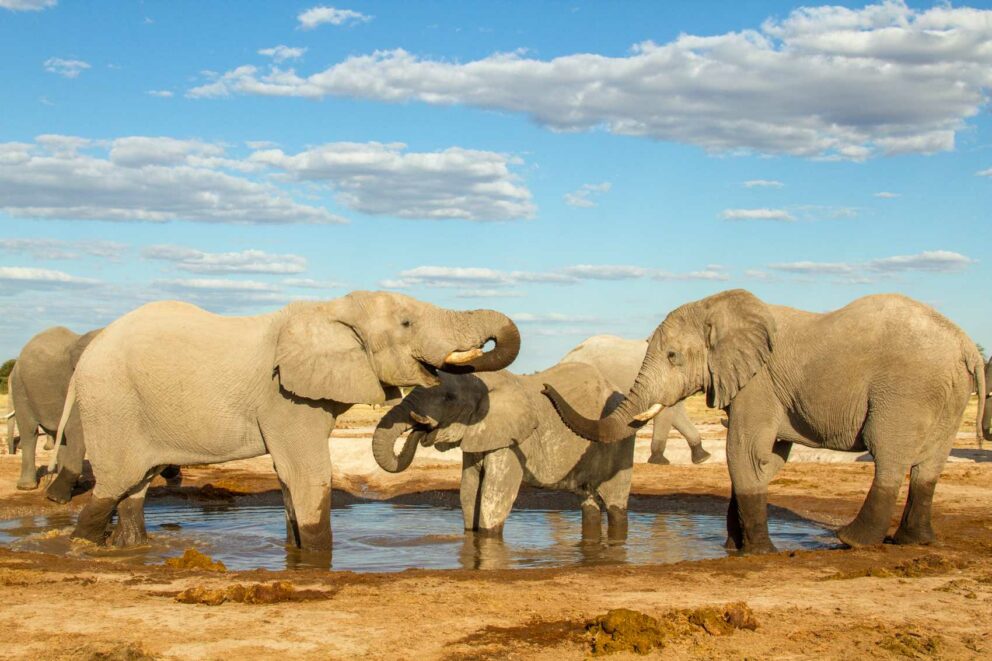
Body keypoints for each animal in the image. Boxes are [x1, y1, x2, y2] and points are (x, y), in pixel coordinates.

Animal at [6, 326, 101, 501]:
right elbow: (76, 428)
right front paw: (55, 498)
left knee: (60, 435)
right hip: (20, 386)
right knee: (29, 432)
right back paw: (27, 487)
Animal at [65, 291, 519, 552]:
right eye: (407, 323)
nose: (422, 423)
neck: (330, 311)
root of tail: (91, 350)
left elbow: (289, 478)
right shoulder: (286, 396)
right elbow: (308, 474)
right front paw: (318, 558)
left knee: (135, 487)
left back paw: (129, 547)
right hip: (111, 403)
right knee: (114, 484)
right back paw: (80, 546)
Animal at [372, 362, 635, 541]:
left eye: (449, 397)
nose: (422, 428)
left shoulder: (510, 441)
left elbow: (494, 495)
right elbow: (468, 492)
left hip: (618, 443)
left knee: (615, 502)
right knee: (589, 502)